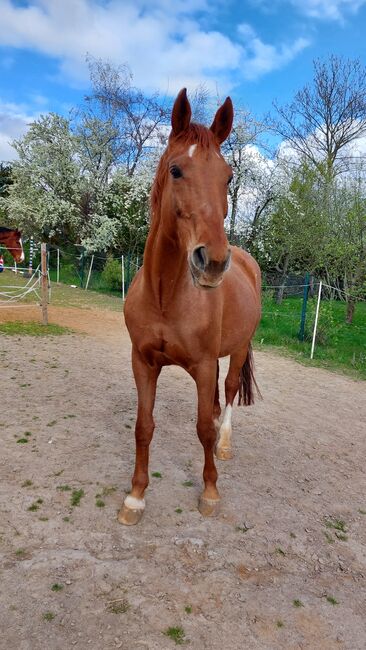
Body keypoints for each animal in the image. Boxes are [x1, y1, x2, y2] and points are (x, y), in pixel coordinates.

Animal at [118, 91, 262, 524]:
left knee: (227, 393)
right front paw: (135, 496)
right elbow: (144, 426)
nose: (212, 261)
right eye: (177, 170)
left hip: (237, 350)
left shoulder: (201, 364)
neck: (166, 296)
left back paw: (225, 445)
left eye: (228, 177)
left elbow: (202, 429)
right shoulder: (143, 362)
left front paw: (210, 491)